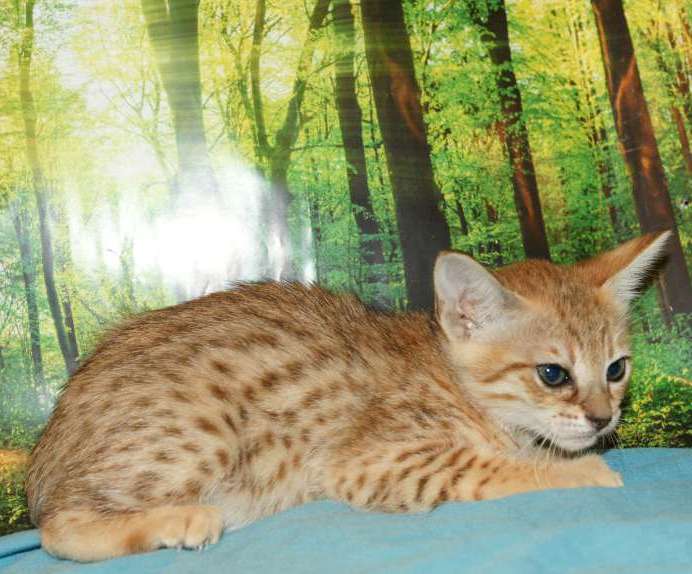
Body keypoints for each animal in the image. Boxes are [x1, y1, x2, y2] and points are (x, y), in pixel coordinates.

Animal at [25, 231, 670, 562]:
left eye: (616, 369)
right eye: (553, 374)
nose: (603, 418)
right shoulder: (374, 460)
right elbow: (494, 468)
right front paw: (581, 472)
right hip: (201, 431)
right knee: (56, 530)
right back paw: (180, 518)